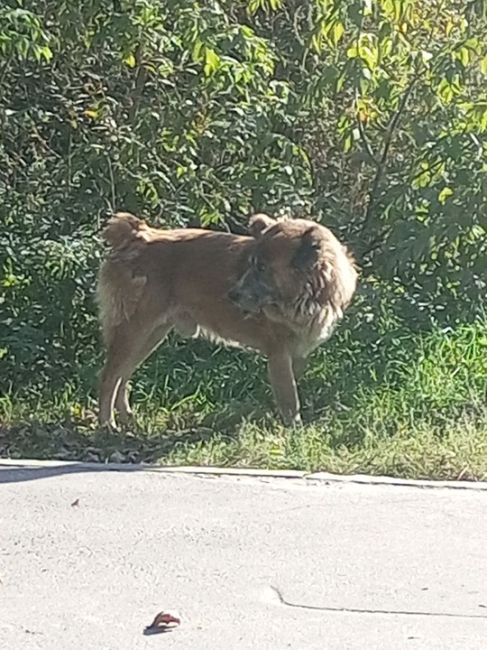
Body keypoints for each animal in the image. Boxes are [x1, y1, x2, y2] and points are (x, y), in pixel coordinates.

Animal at [97, 210, 358, 428]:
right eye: (253, 264)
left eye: (262, 268)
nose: (232, 295)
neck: (308, 294)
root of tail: (137, 236)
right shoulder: (279, 353)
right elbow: (289, 398)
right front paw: (295, 430)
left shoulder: (296, 353)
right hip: (134, 330)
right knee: (109, 377)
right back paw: (107, 424)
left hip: (151, 334)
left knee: (123, 376)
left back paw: (127, 419)